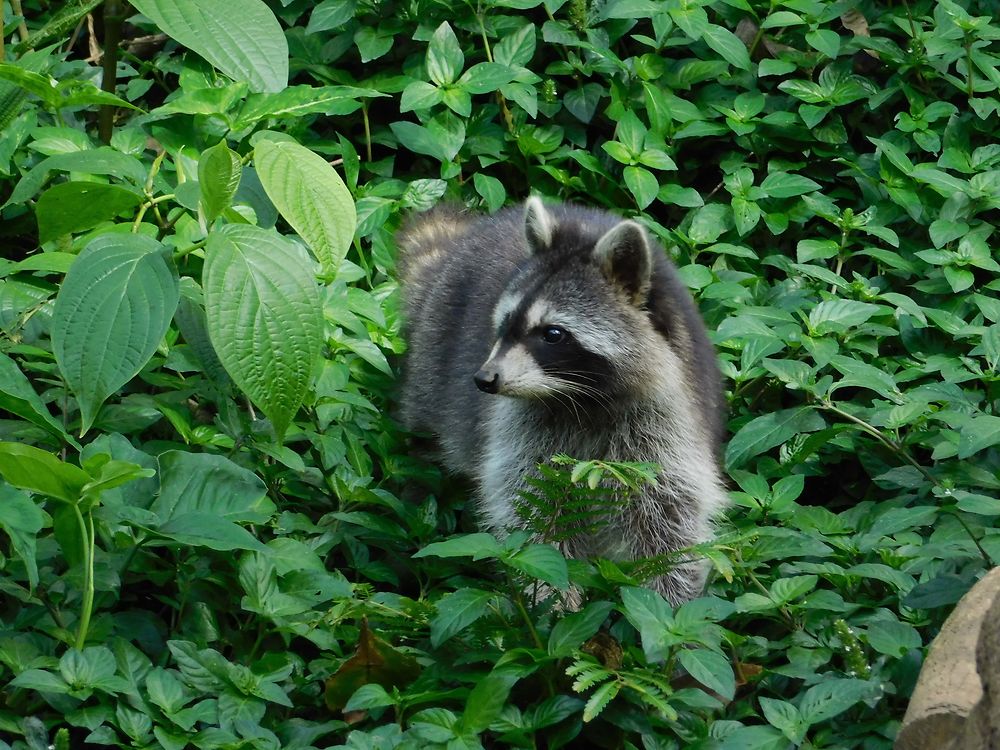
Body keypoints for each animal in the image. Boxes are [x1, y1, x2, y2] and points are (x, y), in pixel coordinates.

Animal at [396, 197, 728, 604]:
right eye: (505, 322)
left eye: (553, 334)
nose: (485, 380)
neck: (581, 397)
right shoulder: (521, 426)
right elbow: (530, 503)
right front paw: (551, 600)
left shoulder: (669, 418)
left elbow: (671, 514)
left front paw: (671, 603)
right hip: (433, 361)